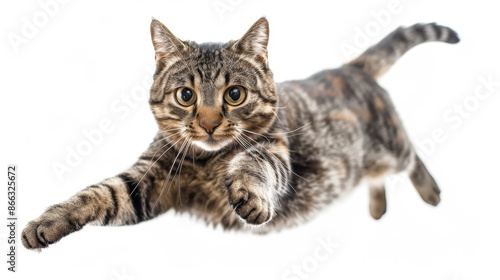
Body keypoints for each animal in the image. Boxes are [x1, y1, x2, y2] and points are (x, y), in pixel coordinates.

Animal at [21, 17, 458, 249]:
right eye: (186, 95)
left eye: (235, 94)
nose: (209, 122)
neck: (205, 161)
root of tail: (348, 68)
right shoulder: (147, 182)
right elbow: (96, 194)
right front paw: (49, 221)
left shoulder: (275, 151)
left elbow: (254, 166)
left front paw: (249, 194)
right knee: (376, 177)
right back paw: (377, 208)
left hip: (390, 144)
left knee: (411, 154)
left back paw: (431, 192)